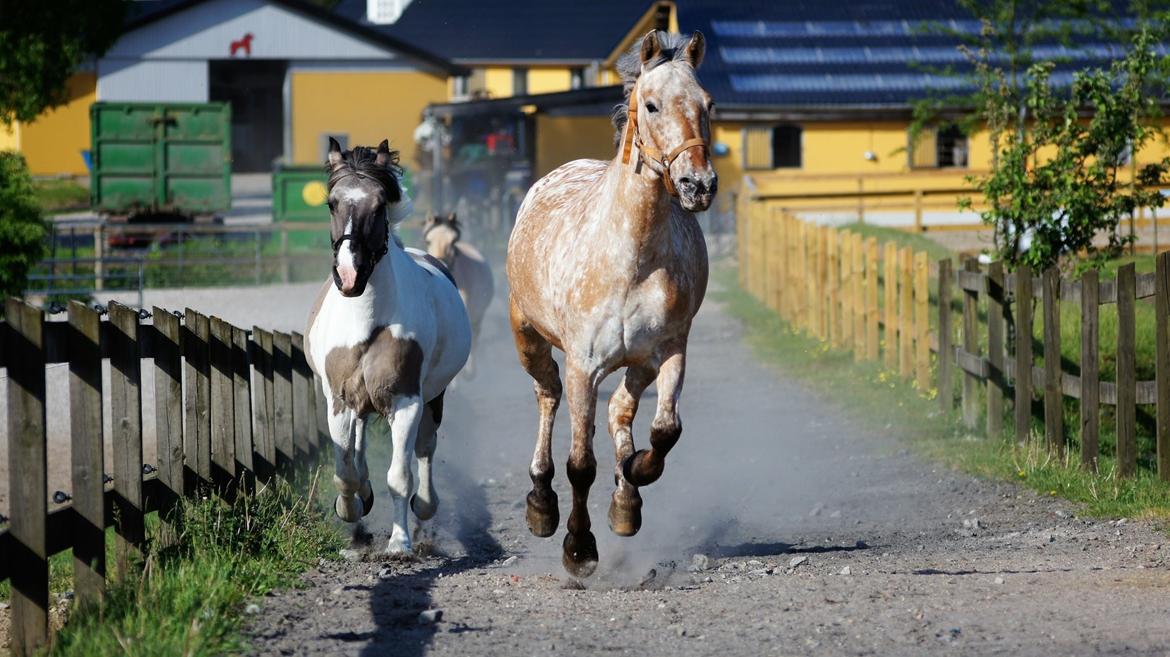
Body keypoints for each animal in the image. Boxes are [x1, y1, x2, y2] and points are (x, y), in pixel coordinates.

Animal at [306, 136, 470, 551]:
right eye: (331, 203)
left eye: (379, 205)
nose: (349, 275)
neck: (368, 322)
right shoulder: (339, 401)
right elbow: (345, 469)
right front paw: (351, 507)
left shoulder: (407, 400)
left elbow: (400, 476)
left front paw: (400, 543)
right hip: (359, 403)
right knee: (359, 441)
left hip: (433, 396)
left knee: (425, 448)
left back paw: (425, 505)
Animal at [507, 30, 716, 572]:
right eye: (652, 104)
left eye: (708, 103)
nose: (699, 185)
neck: (632, 257)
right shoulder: (584, 366)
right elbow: (581, 463)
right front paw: (578, 547)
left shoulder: (670, 352)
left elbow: (665, 431)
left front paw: (636, 471)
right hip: (529, 338)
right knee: (547, 395)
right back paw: (541, 501)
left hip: (637, 363)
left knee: (621, 408)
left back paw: (626, 498)